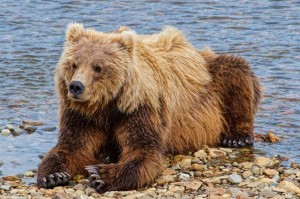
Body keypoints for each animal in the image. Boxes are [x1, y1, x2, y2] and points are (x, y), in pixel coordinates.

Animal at [37, 23, 262, 193]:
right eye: (73, 64)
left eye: (98, 67)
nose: (76, 86)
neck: (106, 105)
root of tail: (197, 51)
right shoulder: (82, 115)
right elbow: (73, 146)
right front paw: (53, 175)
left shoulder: (139, 109)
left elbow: (142, 150)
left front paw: (100, 175)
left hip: (213, 78)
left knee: (235, 69)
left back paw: (237, 137)